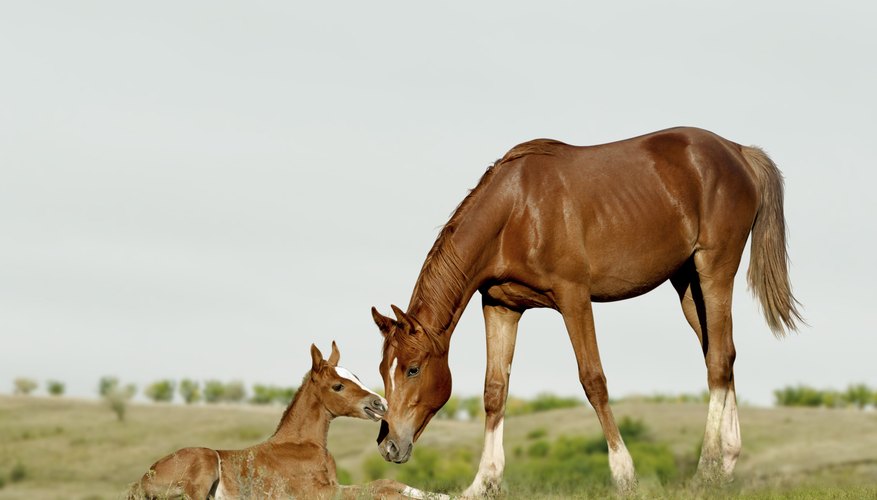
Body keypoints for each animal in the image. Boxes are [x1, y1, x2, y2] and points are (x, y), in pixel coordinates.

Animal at [133, 344, 442, 500]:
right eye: (338, 386)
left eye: (355, 375)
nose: (380, 404)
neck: (302, 446)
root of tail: (140, 482)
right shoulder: (320, 493)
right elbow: (380, 490)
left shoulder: (334, 487)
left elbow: (386, 483)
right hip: (205, 462)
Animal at [370, 127, 800, 494]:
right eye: (382, 370)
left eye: (413, 369)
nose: (389, 444)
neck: (516, 211)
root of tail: (738, 152)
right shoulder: (500, 305)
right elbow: (495, 390)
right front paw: (482, 482)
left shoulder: (573, 296)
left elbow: (593, 380)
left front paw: (624, 475)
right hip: (687, 285)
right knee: (722, 357)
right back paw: (725, 464)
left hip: (714, 270)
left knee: (718, 361)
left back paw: (707, 467)